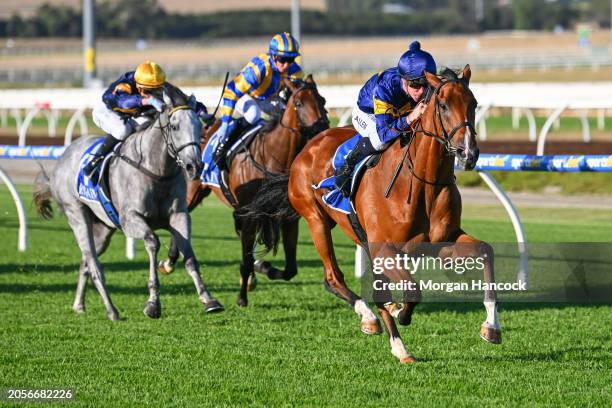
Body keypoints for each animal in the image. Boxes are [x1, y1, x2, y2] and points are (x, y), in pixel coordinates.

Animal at [33, 83, 225, 318]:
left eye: (199, 126)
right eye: (175, 126)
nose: (194, 166)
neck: (157, 172)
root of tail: (62, 159)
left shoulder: (179, 216)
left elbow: (188, 255)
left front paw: (209, 299)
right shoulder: (131, 219)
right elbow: (153, 242)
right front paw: (152, 303)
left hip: (103, 228)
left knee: (86, 261)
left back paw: (79, 304)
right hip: (76, 215)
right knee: (94, 264)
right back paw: (112, 311)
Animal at [159, 75, 330, 308]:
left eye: (322, 100)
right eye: (298, 103)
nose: (323, 128)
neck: (272, 156)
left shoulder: (287, 217)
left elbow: (290, 269)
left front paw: (263, 268)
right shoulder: (250, 213)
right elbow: (248, 259)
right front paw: (241, 297)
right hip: (193, 191)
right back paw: (168, 262)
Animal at [241, 66, 500, 364]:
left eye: (474, 103)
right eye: (443, 105)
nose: (468, 153)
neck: (423, 182)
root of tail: (306, 148)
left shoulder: (441, 242)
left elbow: (486, 251)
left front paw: (491, 327)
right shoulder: (384, 248)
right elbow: (411, 290)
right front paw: (398, 310)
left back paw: (398, 345)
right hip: (317, 220)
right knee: (333, 277)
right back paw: (375, 323)